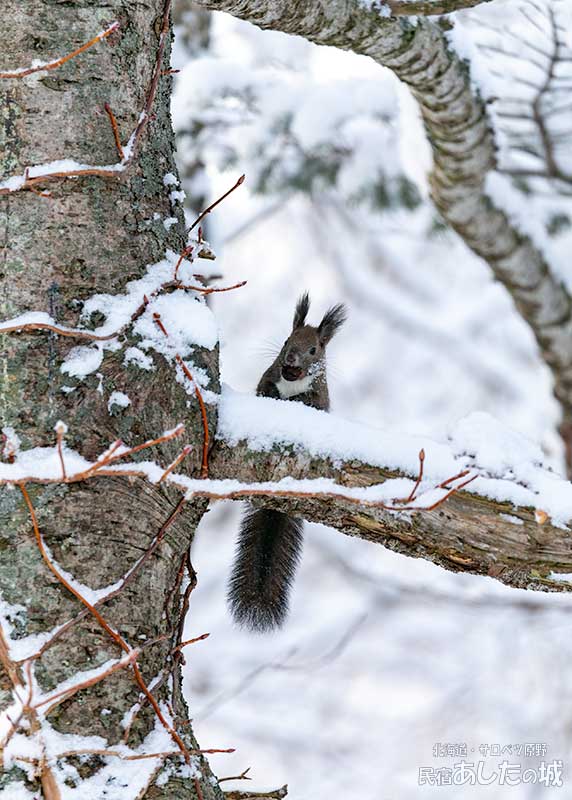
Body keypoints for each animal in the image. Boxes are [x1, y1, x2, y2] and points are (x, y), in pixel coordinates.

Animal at [226, 292, 346, 632]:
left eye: (314, 350)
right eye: (285, 341)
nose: (291, 359)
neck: (292, 382)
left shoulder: (321, 398)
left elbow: (312, 404)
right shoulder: (266, 378)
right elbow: (264, 389)